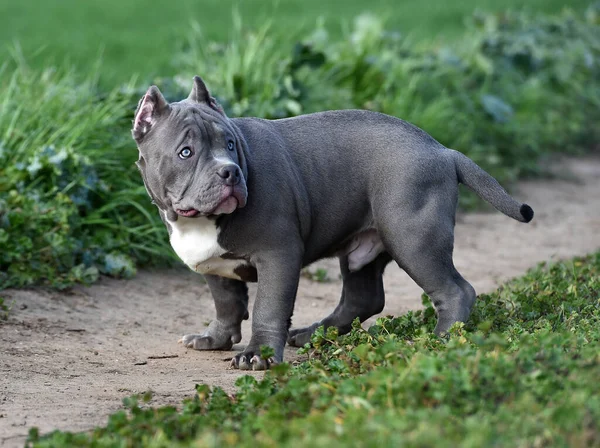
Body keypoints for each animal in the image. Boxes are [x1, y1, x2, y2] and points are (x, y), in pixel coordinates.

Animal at [132, 76, 536, 372]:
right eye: (186, 152)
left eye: (230, 145)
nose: (229, 172)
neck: (199, 221)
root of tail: (442, 150)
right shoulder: (216, 266)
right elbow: (226, 303)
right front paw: (214, 339)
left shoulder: (277, 255)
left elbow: (268, 307)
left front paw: (258, 354)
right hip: (363, 249)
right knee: (363, 297)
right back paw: (314, 334)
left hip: (413, 239)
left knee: (455, 290)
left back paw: (441, 340)